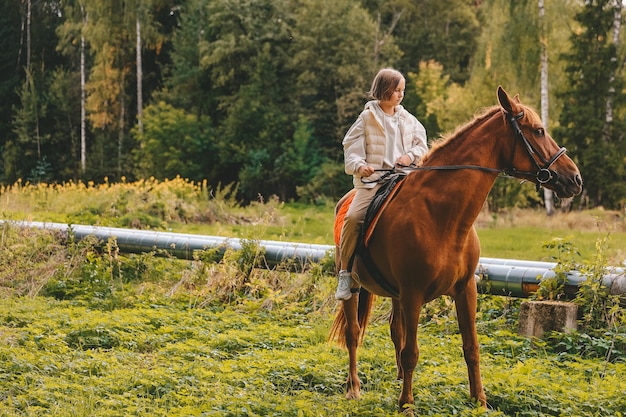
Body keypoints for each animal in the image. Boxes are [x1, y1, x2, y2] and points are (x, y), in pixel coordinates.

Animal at [326, 86, 580, 412]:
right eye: (538, 130)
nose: (575, 178)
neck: (441, 215)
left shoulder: (464, 289)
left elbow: (471, 347)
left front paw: (480, 400)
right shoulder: (413, 293)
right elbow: (412, 351)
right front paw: (407, 404)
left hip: (394, 294)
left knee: (395, 330)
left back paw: (397, 379)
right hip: (355, 286)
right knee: (354, 333)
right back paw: (353, 388)